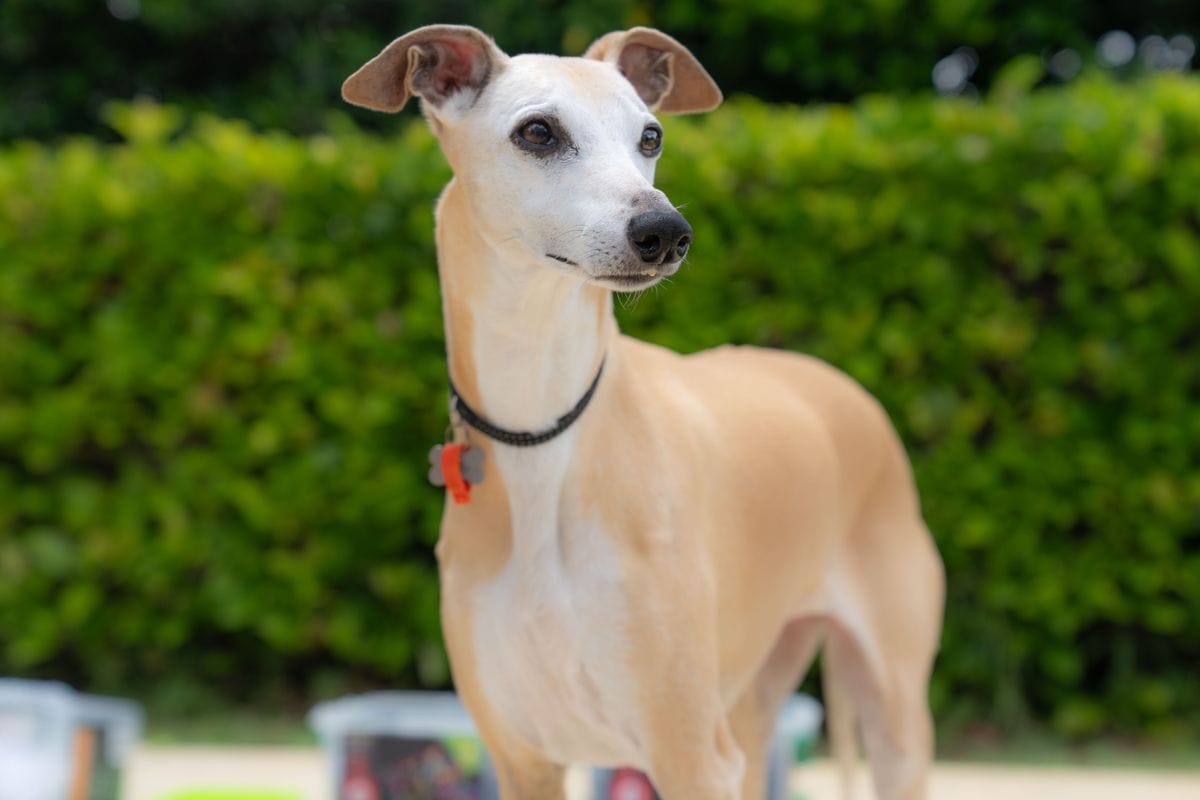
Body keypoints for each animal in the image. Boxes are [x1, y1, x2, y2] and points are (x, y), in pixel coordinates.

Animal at [343, 25, 944, 800]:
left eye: (650, 136)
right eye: (538, 131)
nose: (665, 231)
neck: (543, 432)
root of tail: (841, 386)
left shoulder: (690, 755)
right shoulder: (522, 759)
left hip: (888, 715)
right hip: (750, 710)